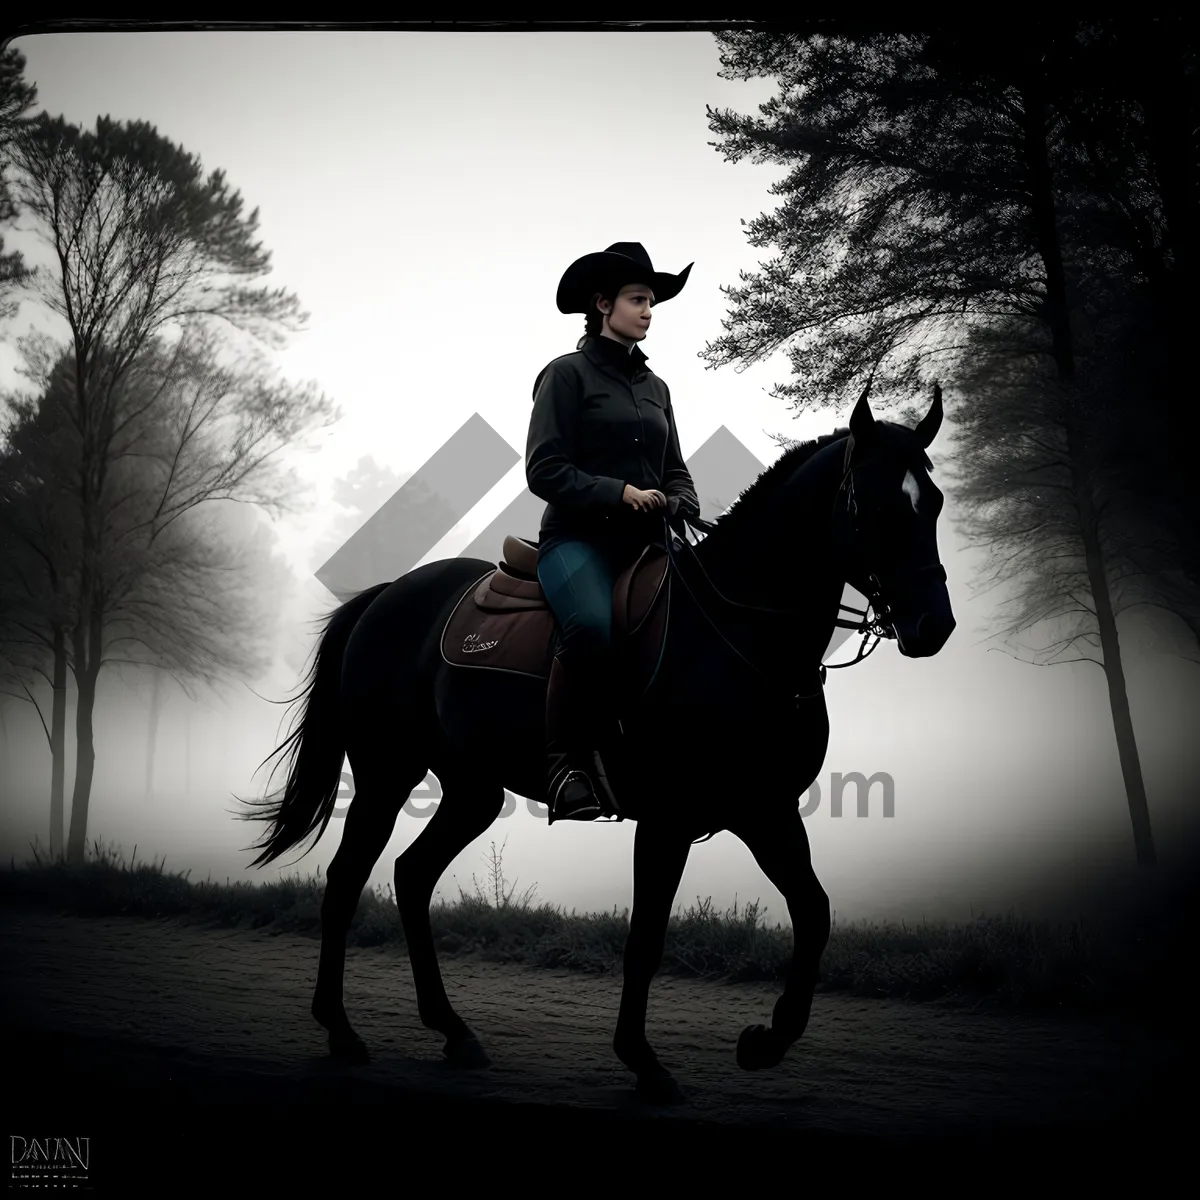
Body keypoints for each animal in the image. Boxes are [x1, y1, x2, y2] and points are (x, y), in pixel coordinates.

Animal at [238, 379, 955, 1099]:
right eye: (873, 504)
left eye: (936, 502)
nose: (933, 625)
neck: (732, 634)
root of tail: (387, 595)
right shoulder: (668, 819)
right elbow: (646, 939)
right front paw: (644, 1062)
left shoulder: (765, 808)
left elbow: (814, 911)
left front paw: (765, 1041)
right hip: (387, 775)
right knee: (344, 881)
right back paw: (341, 1031)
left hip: (471, 789)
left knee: (412, 877)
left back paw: (453, 1032)